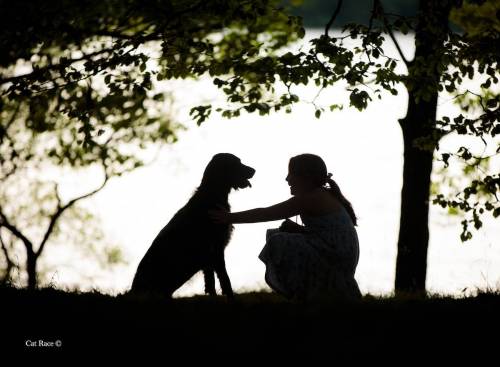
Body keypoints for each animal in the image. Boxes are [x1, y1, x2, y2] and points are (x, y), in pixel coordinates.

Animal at [130, 153, 254, 300]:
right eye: (237, 163)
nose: (254, 170)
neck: (211, 196)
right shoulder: (216, 248)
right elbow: (225, 278)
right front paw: (231, 299)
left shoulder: (209, 256)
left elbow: (210, 282)